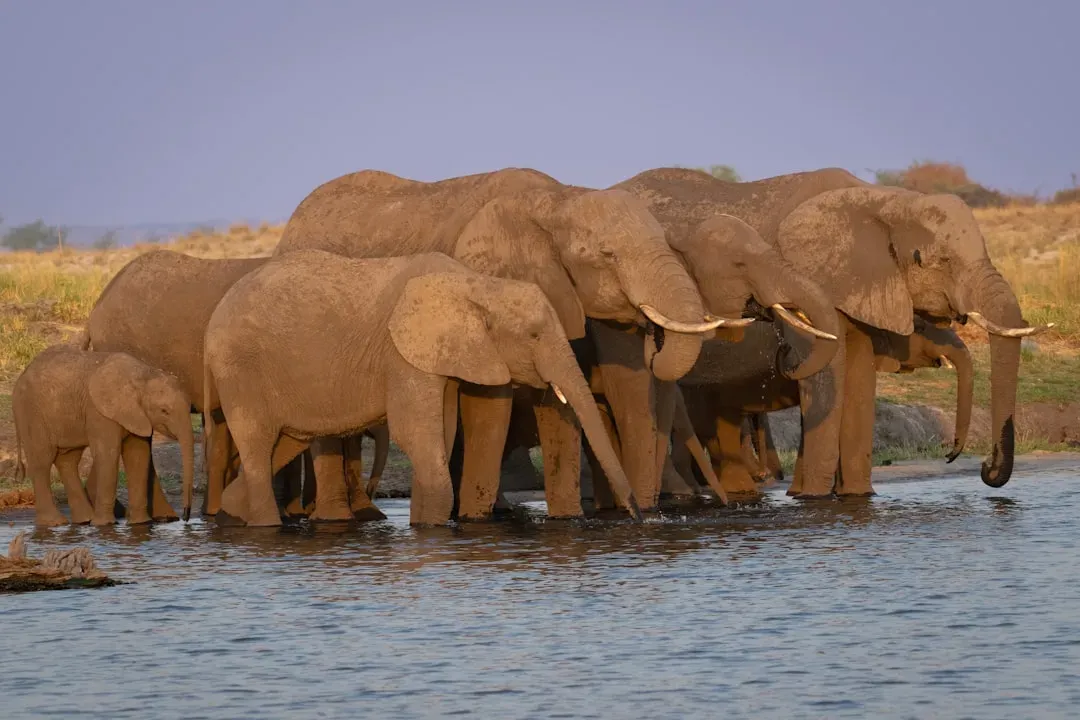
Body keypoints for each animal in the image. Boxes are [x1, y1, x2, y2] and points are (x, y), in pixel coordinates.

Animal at [12, 345, 195, 527]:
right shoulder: (99, 411)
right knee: (42, 461)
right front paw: (104, 525)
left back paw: (84, 520)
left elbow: (138, 455)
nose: (185, 516)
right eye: (164, 411)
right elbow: (108, 455)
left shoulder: (137, 415)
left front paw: (139, 524)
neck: (143, 375)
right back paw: (55, 523)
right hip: (31, 412)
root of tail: (20, 377)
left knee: (68, 460)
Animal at [203, 250, 642, 527]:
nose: (637, 514)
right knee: (258, 445)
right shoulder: (402, 354)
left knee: (284, 444)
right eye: (534, 335)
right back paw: (264, 527)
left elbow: (441, 434)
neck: (477, 284)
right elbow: (416, 435)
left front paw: (425, 526)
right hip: (239, 370)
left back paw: (231, 516)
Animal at [273, 167, 754, 517]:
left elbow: (591, 392)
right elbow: (491, 400)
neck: (558, 200)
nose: (644, 514)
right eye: (607, 255)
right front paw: (474, 522)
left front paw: (571, 520)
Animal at [614, 167, 1052, 497]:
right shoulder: (814, 278)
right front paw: (813, 500)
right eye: (929, 259)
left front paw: (858, 498)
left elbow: (858, 380)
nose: (982, 466)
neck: (882, 199)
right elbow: (829, 379)